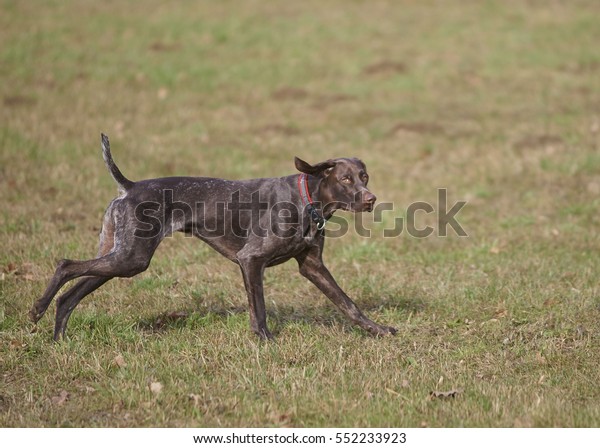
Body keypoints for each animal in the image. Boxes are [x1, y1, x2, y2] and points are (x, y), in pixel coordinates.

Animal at [31, 133, 398, 340]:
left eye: (364, 176)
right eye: (346, 179)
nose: (371, 199)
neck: (307, 199)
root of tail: (130, 187)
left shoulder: (313, 267)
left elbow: (348, 304)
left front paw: (379, 330)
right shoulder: (251, 261)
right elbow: (259, 308)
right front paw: (265, 340)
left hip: (120, 258)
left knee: (70, 296)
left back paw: (59, 340)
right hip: (130, 259)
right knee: (65, 265)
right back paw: (37, 310)